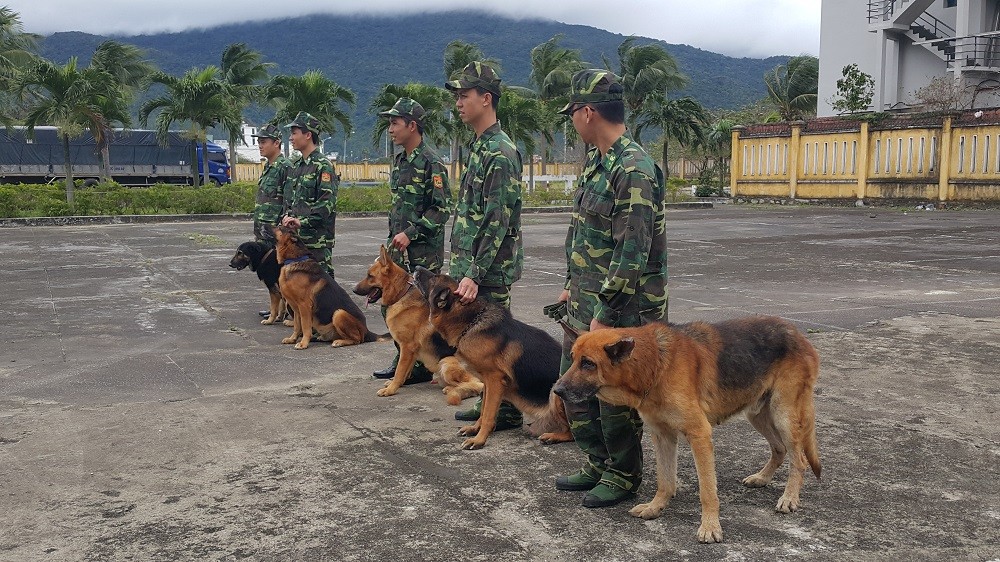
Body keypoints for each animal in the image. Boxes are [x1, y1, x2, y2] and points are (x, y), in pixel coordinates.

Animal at [352, 245, 484, 398]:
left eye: (370, 276)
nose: (353, 290)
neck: (402, 294)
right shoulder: (410, 351)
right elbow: (405, 371)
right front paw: (399, 384)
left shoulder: (407, 347)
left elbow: (399, 370)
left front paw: (390, 389)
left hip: (446, 362)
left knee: (477, 385)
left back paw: (454, 390)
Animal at [412, 266, 572, 446]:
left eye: (434, 278)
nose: (416, 267)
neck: (472, 321)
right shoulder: (487, 382)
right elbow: (483, 410)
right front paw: (475, 429)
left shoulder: (495, 380)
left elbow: (488, 414)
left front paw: (479, 440)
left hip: (556, 391)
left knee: (573, 432)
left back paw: (553, 436)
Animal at [556, 316, 820, 540]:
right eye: (572, 358)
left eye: (588, 364)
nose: (556, 390)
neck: (655, 364)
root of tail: (799, 335)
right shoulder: (662, 436)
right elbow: (665, 480)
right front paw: (656, 507)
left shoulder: (699, 435)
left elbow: (707, 490)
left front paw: (710, 526)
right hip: (757, 414)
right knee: (779, 449)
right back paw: (762, 478)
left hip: (783, 415)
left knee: (799, 460)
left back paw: (789, 497)